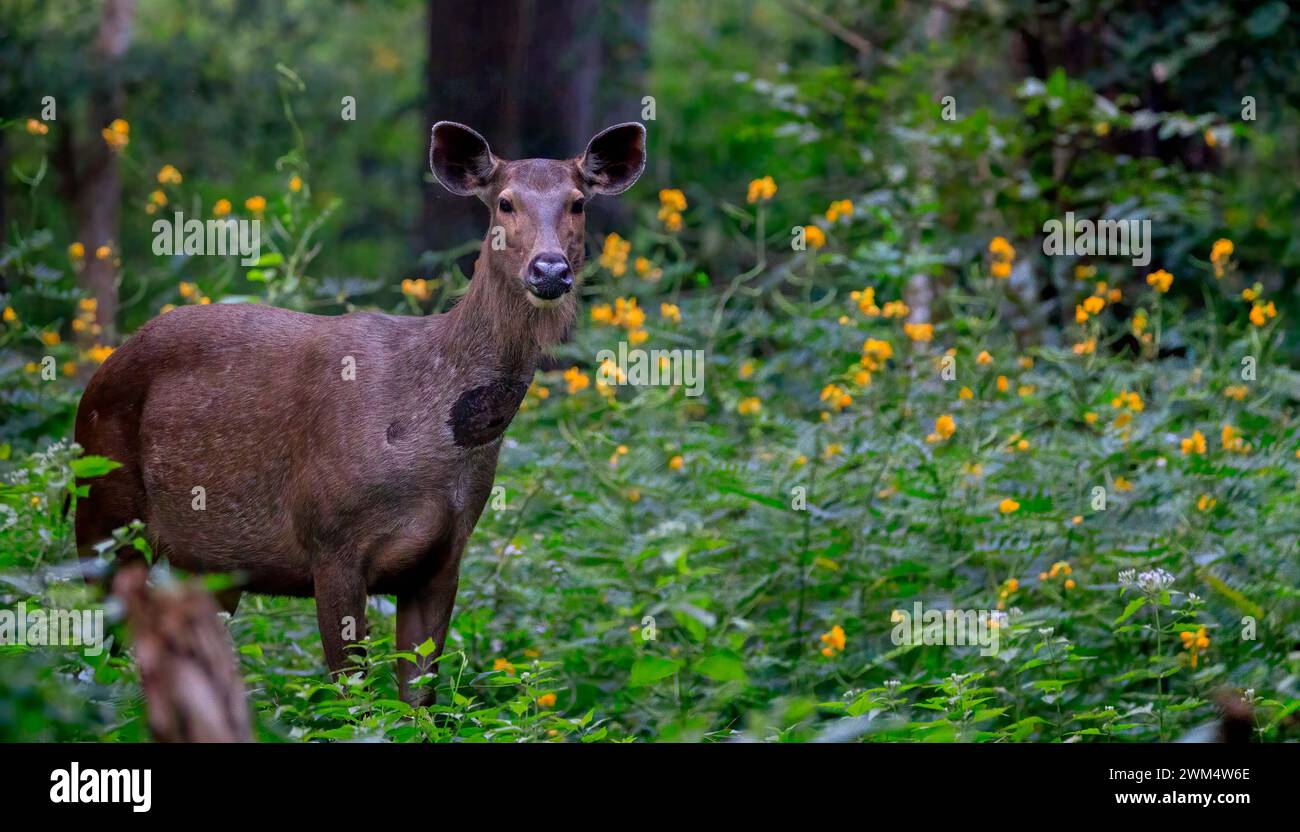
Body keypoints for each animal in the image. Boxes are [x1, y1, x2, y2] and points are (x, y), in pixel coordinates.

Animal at [74, 118, 644, 702]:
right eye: (505, 202)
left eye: (578, 202)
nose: (549, 270)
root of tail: (99, 372)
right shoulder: (330, 542)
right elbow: (354, 699)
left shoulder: (443, 559)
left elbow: (418, 701)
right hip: (101, 513)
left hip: (207, 562)